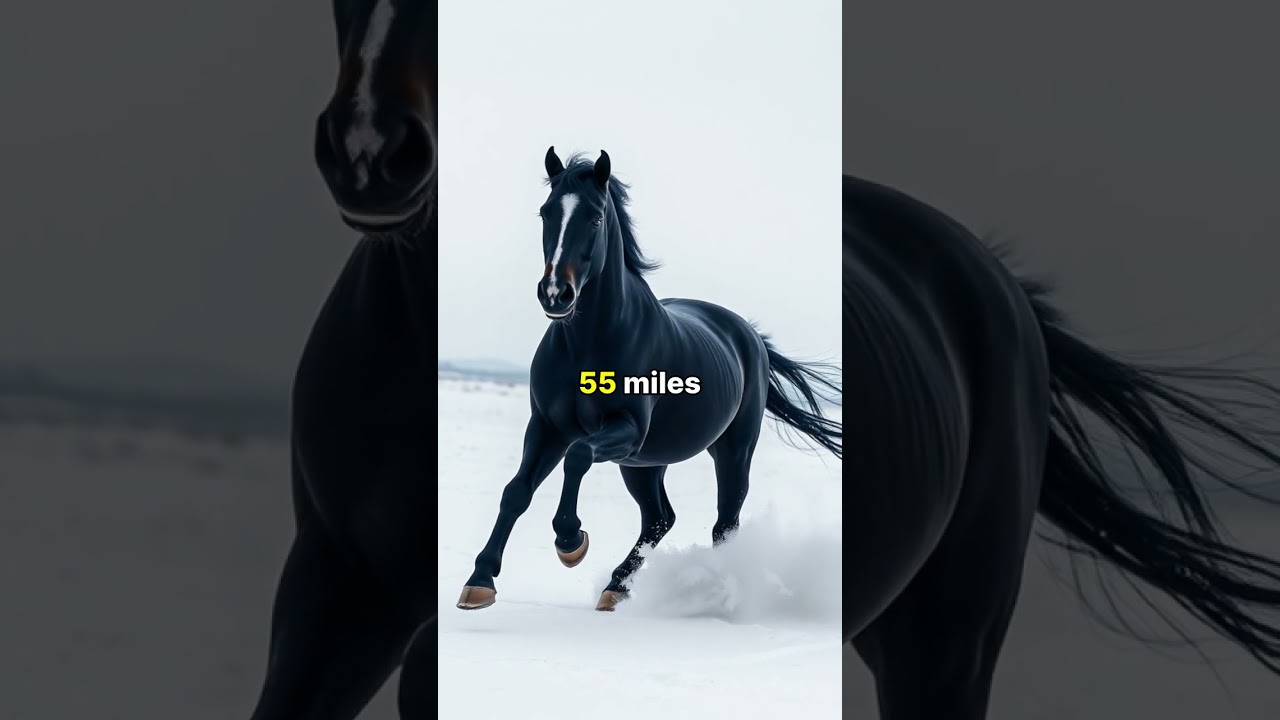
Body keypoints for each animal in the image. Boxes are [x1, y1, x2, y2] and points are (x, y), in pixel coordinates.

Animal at [454, 148, 843, 613]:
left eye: (596, 218)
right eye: (546, 213)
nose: (555, 294)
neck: (589, 344)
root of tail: (748, 334)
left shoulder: (625, 429)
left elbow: (578, 458)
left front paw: (571, 542)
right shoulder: (548, 428)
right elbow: (516, 491)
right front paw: (479, 582)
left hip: (730, 451)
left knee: (723, 525)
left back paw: (718, 592)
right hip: (645, 464)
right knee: (659, 519)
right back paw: (615, 587)